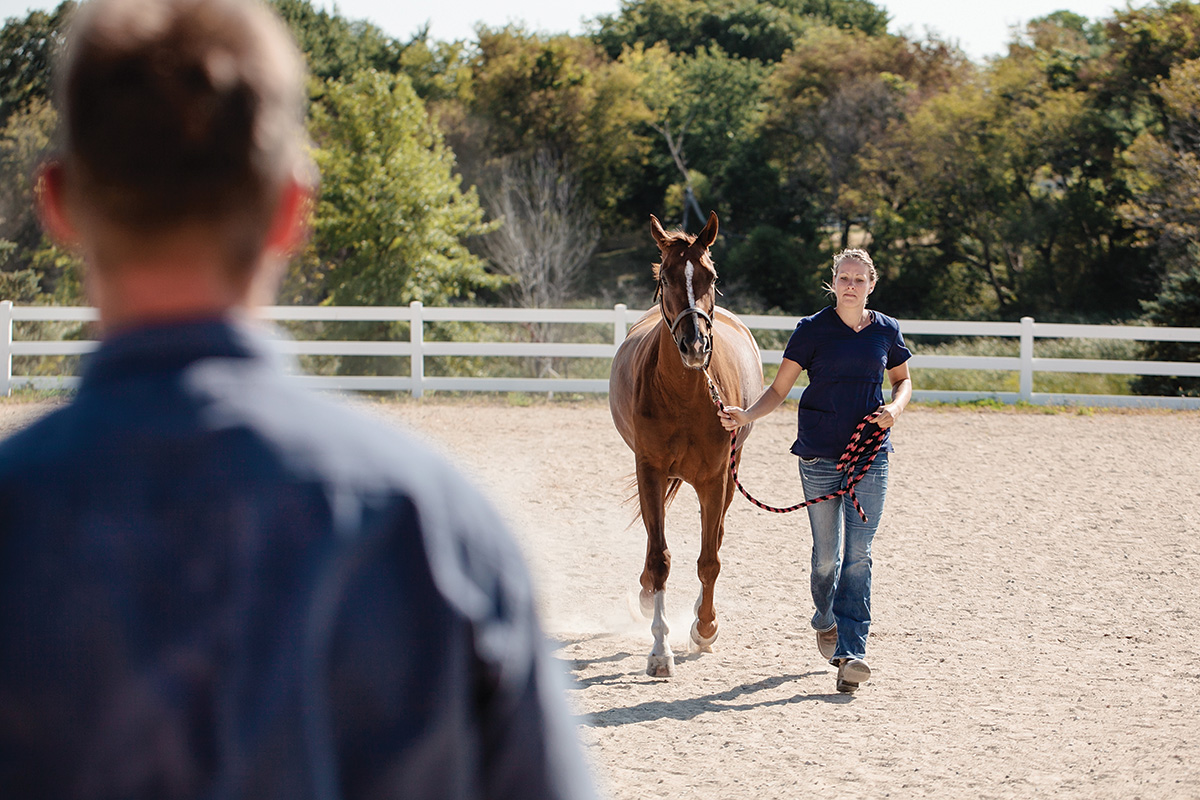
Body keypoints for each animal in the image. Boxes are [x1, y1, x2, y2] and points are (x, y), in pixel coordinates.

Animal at [609, 211, 758, 676]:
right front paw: (660, 650)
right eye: (666, 277)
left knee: (717, 536)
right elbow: (660, 559)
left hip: (728, 478)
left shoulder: (714, 479)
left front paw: (705, 627)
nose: (695, 345)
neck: (685, 396)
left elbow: (709, 559)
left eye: (711, 275)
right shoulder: (650, 470)